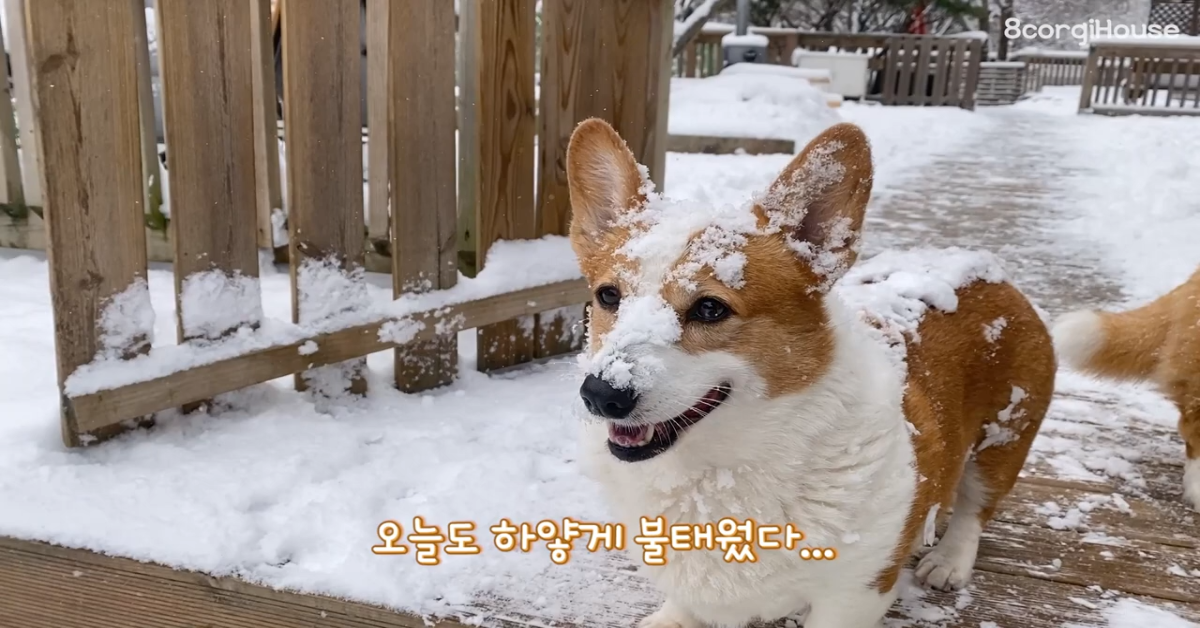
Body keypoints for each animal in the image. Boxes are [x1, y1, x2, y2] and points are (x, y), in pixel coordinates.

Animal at [566, 119, 1056, 628]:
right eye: (608, 296)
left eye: (710, 308)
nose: (600, 395)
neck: (720, 472)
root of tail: (985, 268)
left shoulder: (854, 595)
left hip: (1004, 438)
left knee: (975, 508)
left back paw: (948, 560)